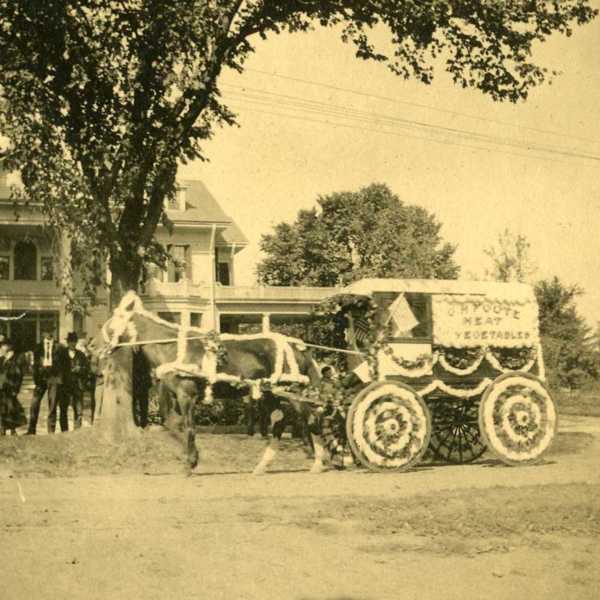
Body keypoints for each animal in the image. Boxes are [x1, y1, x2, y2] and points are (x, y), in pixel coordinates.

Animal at [102, 292, 328, 476]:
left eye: (117, 316)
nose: (99, 341)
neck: (175, 349)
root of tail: (297, 346)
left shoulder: (187, 395)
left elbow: (188, 426)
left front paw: (190, 462)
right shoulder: (172, 395)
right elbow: (171, 424)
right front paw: (192, 457)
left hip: (292, 391)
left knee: (310, 419)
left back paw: (318, 462)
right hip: (271, 393)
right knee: (281, 422)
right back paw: (262, 466)